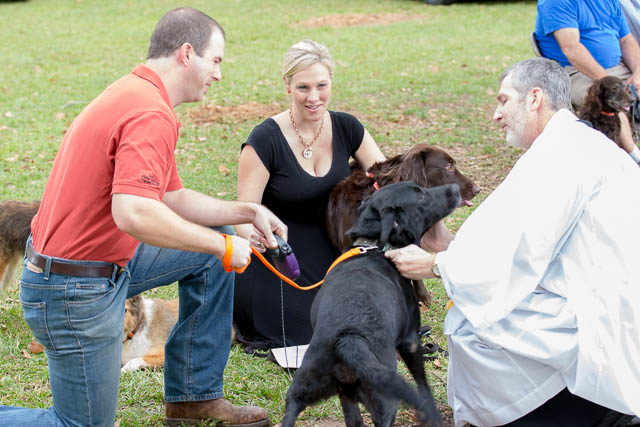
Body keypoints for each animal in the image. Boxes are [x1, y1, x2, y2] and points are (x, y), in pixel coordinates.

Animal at [282, 181, 460, 427]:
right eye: (420, 195)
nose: (455, 188)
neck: (375, 246)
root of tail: (348, 339)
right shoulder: (410, 341)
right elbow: (422, 384)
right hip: (385, 401)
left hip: (302, 392)